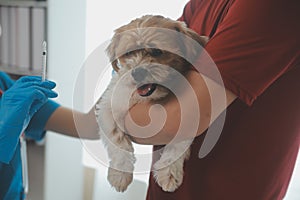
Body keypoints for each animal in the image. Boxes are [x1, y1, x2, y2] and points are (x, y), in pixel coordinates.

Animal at [95, 14, 207, 193]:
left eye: (157, 51)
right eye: (129, 53)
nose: (138, 72)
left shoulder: (191, 110)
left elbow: (179, 142)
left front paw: (168, 172)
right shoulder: (107, 108)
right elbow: (117, 140)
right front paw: (120, 175)